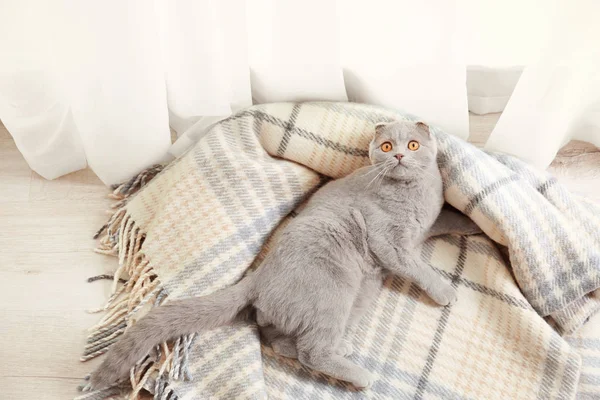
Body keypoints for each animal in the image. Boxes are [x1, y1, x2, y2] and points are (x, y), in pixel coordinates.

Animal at [89, 120, 480, 390]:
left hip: (355, 297)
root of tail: (258, 276)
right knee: (311, 351)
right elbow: (418, 267)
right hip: (334, 292)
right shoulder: (391, 243)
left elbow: (445, 219)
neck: (414, 193)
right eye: (386, 145)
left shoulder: (424, 226)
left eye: (413, 144)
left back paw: (337, 350)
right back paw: (358, 374)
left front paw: (472, 223)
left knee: (277, 338)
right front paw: (445, 291)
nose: (399, 154)